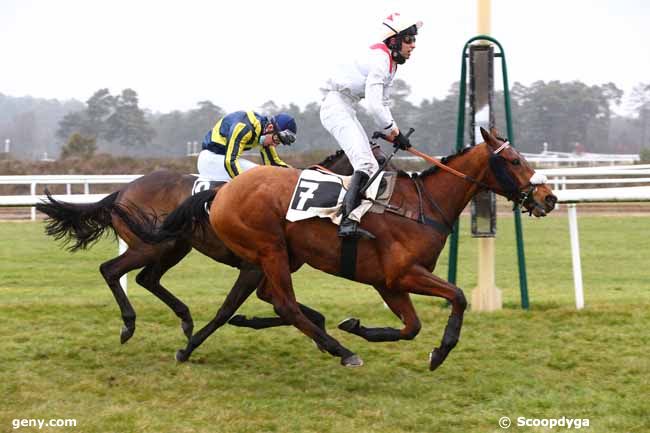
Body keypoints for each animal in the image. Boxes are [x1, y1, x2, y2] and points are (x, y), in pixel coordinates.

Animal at [35, 147, 388, 346]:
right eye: (379, 174)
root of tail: (122, 191)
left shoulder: (265, 270)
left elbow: (295, 310)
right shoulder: (258, 266)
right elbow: (283, 308)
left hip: (174, 247)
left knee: (146, 278)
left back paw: (185, 320)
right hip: (150, 245)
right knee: (110, 270)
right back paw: (129, 324)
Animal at [128, 127, 556, 368]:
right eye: (514, 160)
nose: (549, 198)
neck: (421, 207)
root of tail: (221, 192)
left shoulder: (389, 283)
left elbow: (412, 326)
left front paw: (358, 326)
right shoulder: (403, 274)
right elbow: (459, 296)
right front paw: (441, 350)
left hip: (274, 257)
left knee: (256, 303)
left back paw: (194, 345)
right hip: (269, 250)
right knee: (284, 304)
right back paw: (341, 351)